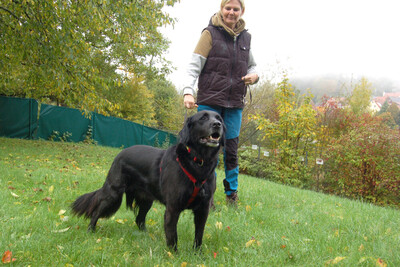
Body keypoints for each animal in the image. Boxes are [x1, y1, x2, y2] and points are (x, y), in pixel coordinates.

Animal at [72, 110, 225, 251]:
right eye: (203, 118)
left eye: (219, 118)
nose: (217, 124)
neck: (199, 162)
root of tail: (119, 154)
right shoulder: (173, 207)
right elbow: (173, 236)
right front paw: (173, 255)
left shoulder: (203, 209)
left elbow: (199, 235)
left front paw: (197, 254)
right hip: (113, 194)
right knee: (96, 212)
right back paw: (90, 231)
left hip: (146, 200)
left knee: (139, 219)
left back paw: (147, 236)